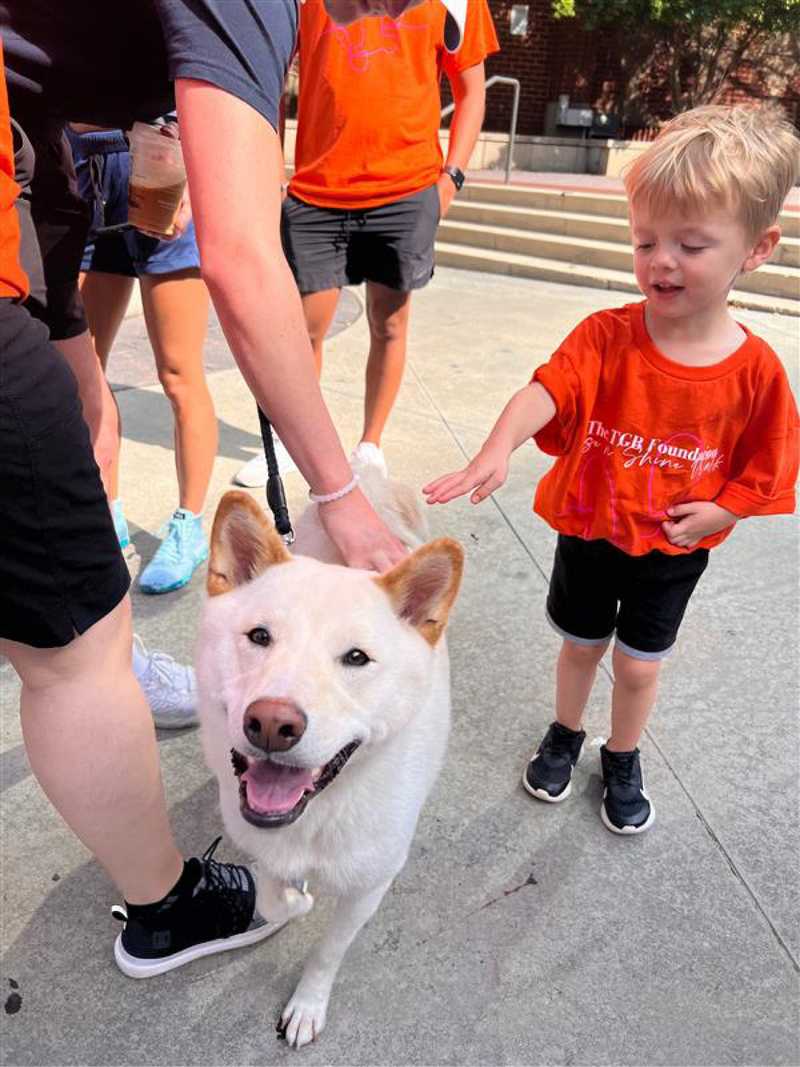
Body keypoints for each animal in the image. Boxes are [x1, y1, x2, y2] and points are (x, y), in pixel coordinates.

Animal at [195, 471, 467, 1045]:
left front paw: (307, 1005)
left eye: (356, 658)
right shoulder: (261, 842)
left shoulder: (369, 885)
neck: (320, 813)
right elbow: (271, 893)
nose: (271, 724)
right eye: (259, 636)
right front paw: (294, 900)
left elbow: (328, 952)